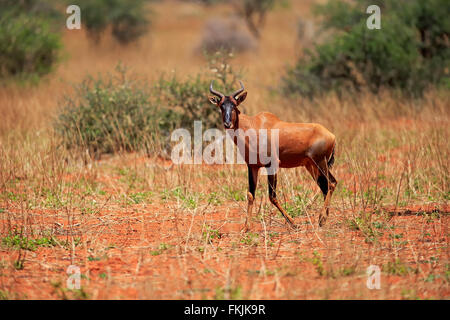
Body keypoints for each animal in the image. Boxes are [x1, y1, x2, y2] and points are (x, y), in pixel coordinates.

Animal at [209, 80, 336, 230]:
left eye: (234, 104)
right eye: (221, 105)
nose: (227, 124)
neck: (254, 125)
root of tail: (331, 135)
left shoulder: (273, 165)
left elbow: (272, 196)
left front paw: (293, 223)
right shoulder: (253, 166)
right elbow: (250, 194)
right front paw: (246, 227)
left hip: (320, 162)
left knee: (331, 183)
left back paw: (322, 218)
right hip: (311, 166)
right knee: (325, 187)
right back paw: (323, 220)